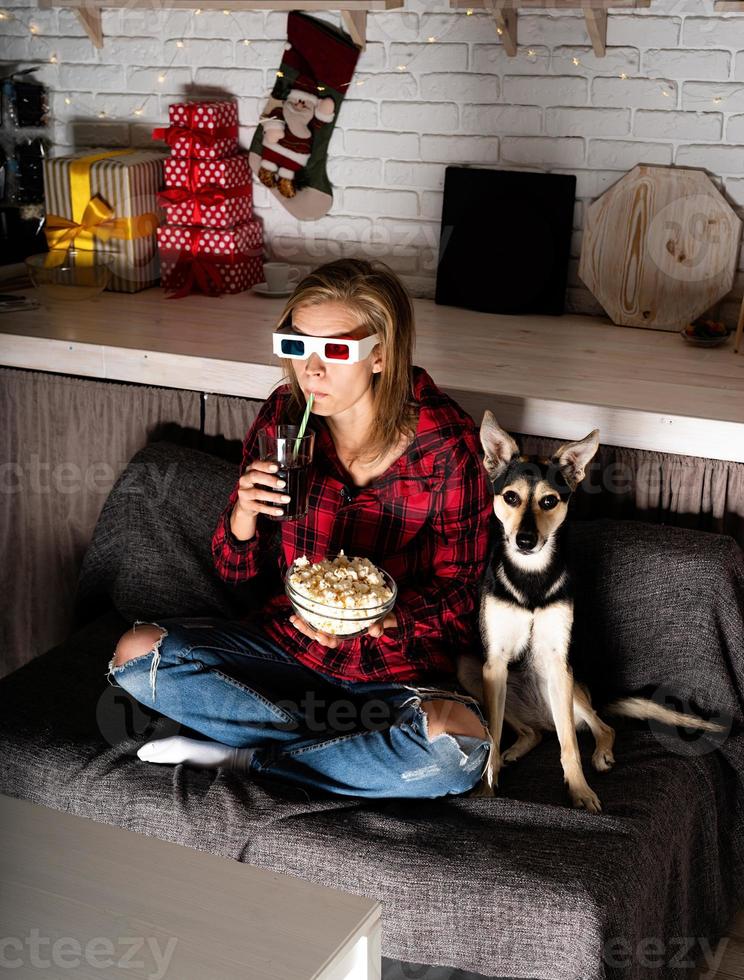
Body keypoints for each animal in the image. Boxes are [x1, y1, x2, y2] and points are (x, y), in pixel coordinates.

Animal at [456, 410, 724, 816]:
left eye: (549, 501)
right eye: (511, 497)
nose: (524, 541)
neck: (531, 578)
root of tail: (540, 714)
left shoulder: (557, 661)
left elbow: (569, 744)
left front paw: (579, 790)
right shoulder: (494, 663)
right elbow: (493, 734)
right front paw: (488, 785)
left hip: (568, 687)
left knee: (598, 727)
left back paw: (599, 754)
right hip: (471, 670)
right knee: (529, 731)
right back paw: (512, 751)